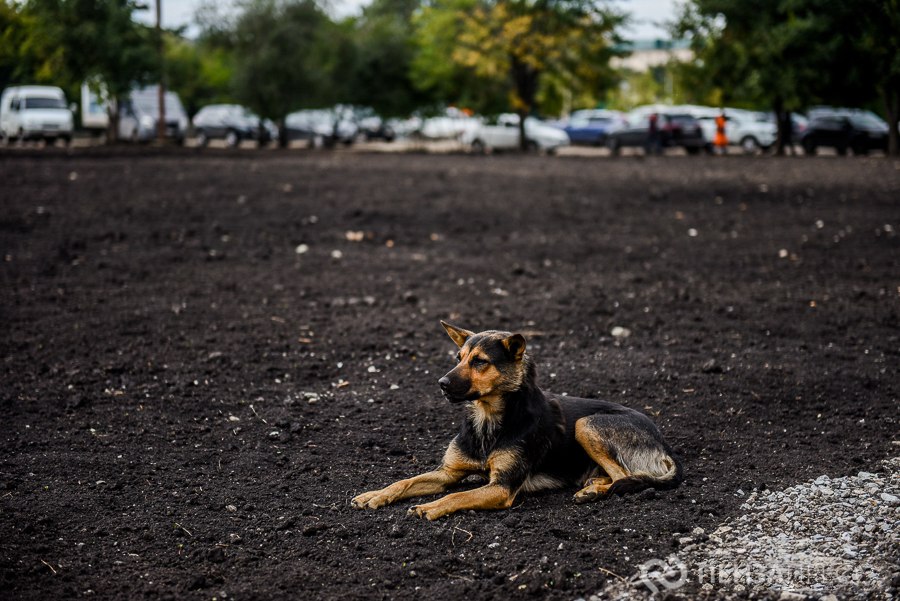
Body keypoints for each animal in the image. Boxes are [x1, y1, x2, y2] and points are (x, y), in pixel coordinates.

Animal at [352, 322, 684, 516]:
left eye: (479, 362)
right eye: (458, 358)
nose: (441, 384)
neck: (487, 419)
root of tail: (663, 444)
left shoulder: (502, 487)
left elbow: (457, 497)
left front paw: (429, 506)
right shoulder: (447, 473)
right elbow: (404, 481)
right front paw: (375, 495)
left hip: (587, 424)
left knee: (624, 476)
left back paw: (593, 491)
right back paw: (592, 484)